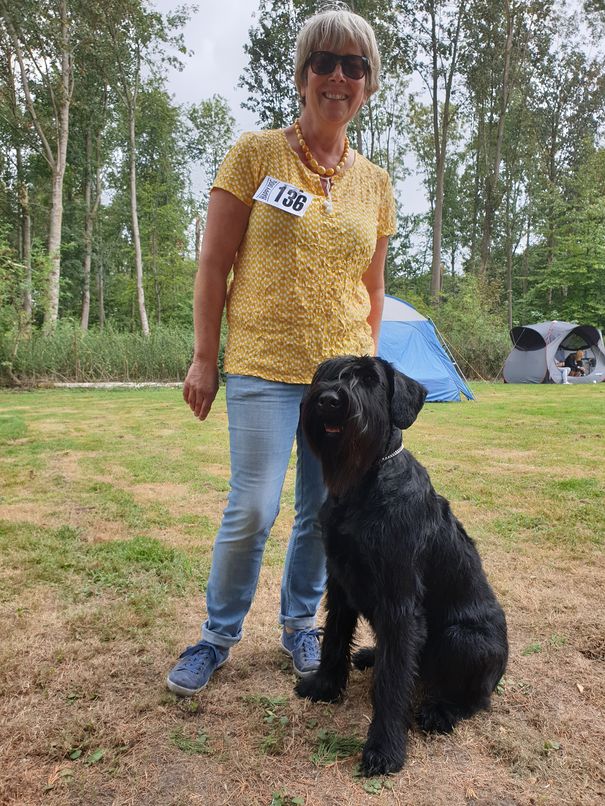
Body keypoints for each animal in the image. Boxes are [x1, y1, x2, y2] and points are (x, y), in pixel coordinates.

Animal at [294, 356, 508, 780]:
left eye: (369, 380)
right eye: (328, 374)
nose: (328, 401)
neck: (364, 484)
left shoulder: (399, 601)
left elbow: (392, 684)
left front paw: (385, 749)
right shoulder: (340, 583)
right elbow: (334, 640)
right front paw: (325, 687)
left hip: (464, 639)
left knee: (476, 698)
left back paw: (441, 711)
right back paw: (370, 655)